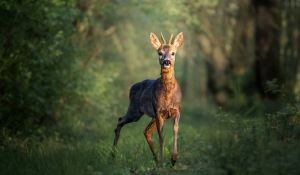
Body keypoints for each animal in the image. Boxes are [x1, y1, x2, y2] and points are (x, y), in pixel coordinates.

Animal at [112, 32, 183, 167]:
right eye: (159, 53)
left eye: (173, 53)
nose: (166, 61)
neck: (168, 94)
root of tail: (132, 87)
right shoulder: (158, 111)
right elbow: (161, 138)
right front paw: (164, 164)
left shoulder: (176, 110)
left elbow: (175, 132)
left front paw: (173, 159)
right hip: (135, 110)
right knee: (120, 120)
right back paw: (111, 156)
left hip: (150, 115)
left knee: (146, 131)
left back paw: (157, 160)